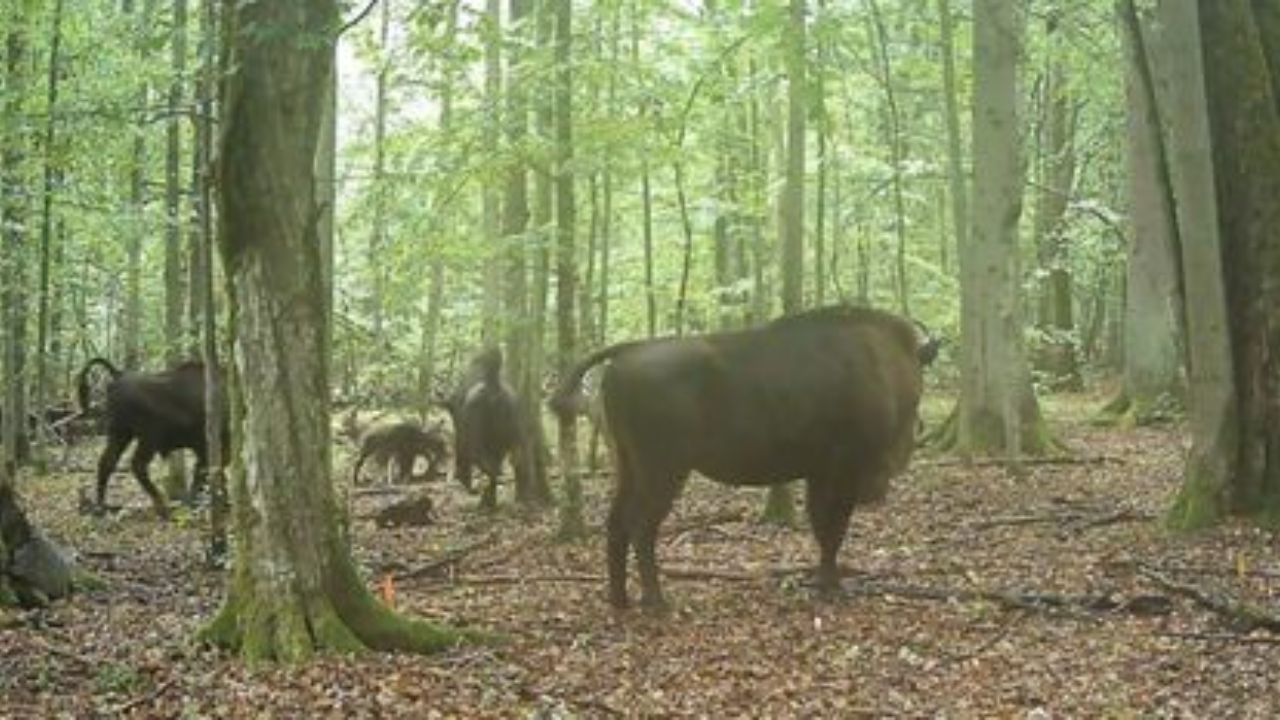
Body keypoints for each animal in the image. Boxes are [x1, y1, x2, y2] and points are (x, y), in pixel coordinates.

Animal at [75, 358, 227, 518]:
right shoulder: (209, 446)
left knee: (106, 462)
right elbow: (206, 471)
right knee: (137, 465)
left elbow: (212, 470)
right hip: (148, 440)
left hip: (121, 434)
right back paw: (162, 507)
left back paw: (101, 506)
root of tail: (119, 375)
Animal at [550, 305, 938, 610]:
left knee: (616, 523)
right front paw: (833, 587)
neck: (882, 358)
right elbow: (834, 528)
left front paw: (823, 583)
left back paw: (620, 599)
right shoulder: (844, 470)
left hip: (628, 467)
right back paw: (656, 602)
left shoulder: (819, 473)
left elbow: (822, 527)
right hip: (663, 472)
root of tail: (629, 353)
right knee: (642, 527)